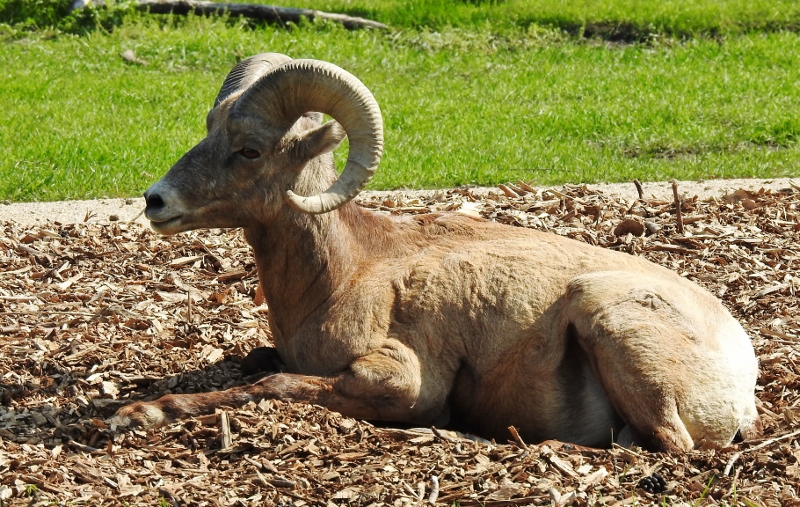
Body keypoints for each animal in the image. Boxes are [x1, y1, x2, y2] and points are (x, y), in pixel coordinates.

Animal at [109, 53, 760, 452]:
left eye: (249, 149)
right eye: (210, 129)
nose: (156, 201)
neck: (343, 276)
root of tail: (741, 381)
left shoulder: (401, 380)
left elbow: (275, 385)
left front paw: (137, 414)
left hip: (599, 307)